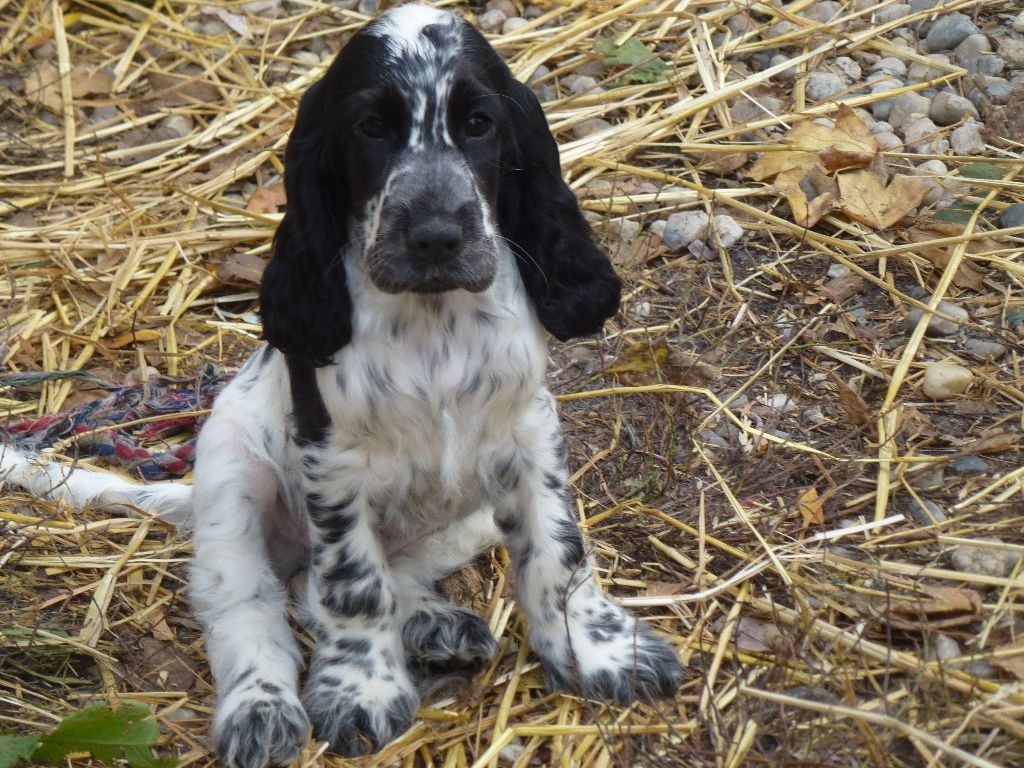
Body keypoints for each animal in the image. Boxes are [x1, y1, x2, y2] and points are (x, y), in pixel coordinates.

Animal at [6, 4, 688, 765]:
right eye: (371, 128)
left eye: (478, 123)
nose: (435, 236)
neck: (433, 320)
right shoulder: (333, 463)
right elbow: (353, 588)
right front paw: (360, 692)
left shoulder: (529, 436)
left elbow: (559, 553)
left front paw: (601, 651)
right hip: (231, 474)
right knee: (258, 600)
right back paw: (262, 708)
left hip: (471, 518)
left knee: (388, 573)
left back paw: (433, 624)